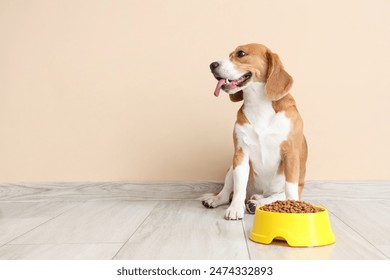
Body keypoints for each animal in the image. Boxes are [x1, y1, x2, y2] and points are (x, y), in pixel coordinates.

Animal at [201, 42, 308, 220]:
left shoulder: (291, 154)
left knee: (277, 196)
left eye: (241, 53)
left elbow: (290, 189)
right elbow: (239, 187)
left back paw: (257, 203)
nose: (212, 65)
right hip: (231, 167)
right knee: (228, 191)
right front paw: (235, 208)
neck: (259, 104)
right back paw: (218, 199)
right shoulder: (241, 153)